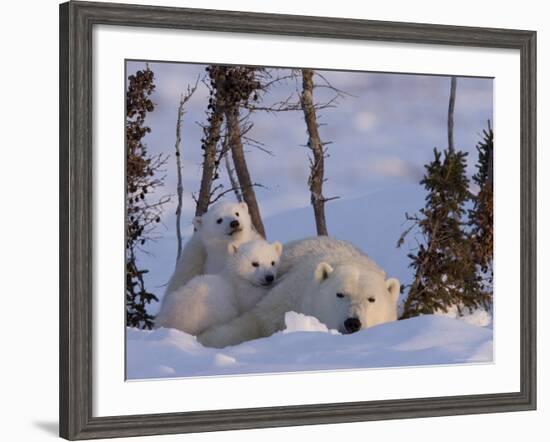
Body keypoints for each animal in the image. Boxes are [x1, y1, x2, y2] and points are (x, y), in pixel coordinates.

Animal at [198, 237, 402, 348]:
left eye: (371, 299)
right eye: (340, 294)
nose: (352, 322)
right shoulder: (288, 295)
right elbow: (253, 321)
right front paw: (206, 339)